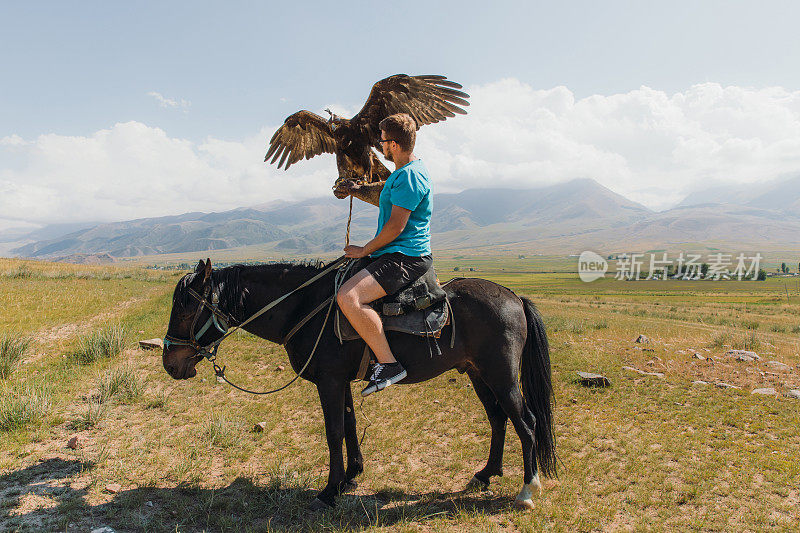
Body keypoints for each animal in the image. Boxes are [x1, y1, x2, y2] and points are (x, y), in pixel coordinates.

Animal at [159, 260, 552, 510]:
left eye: (185, 310)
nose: (170, 364)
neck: (306, 308)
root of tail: (514, 297)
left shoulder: (330, 381)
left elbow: (334, 431)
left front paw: (329, 491)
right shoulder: (340, 381)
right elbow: (349, 425)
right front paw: (351, 477)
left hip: (501, 376)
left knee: (527, 423)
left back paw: (527, 490)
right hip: (477, 373)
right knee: (499, 419)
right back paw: (486, 474)